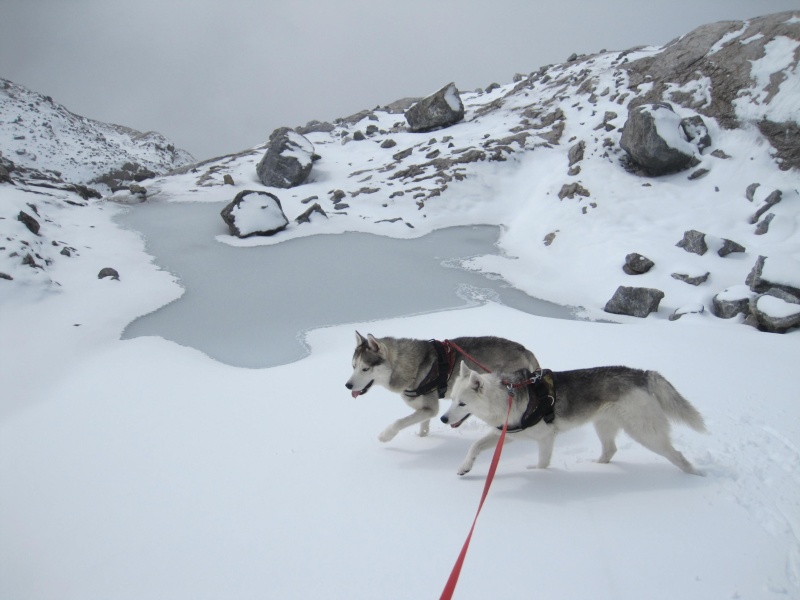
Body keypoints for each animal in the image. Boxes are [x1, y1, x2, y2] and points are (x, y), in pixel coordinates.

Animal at [344, 332, 536, 440]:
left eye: (365, 369)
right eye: (353, 366)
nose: (347, 385)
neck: (411, 365)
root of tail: (525, 350)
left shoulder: (430, 409)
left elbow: (399, 422)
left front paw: (385, 436)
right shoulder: (424, 409)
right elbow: (423, 427)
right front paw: (422, 439)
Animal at [444, 364, 708, 476]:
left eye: (462, 404)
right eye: (452, 399)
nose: (444, 419)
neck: (505, 397)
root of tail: (641, 374)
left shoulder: (545, 438)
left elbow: (542, 463)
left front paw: (539, 473)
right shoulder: (507, 434)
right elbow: (474, 446)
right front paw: (465, 467)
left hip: (645, 433)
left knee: (677, 455)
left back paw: (695, 475)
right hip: (604, 426)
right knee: (610, 450)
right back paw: (597, 467)